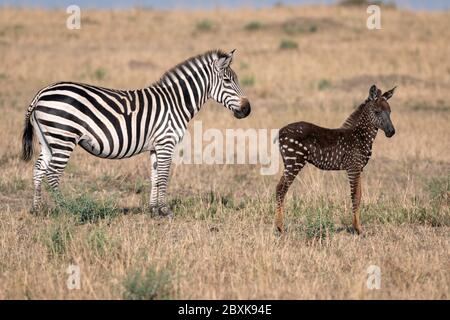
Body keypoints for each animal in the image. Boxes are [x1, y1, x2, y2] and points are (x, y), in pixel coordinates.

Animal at [21, 48, 251, 216]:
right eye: (228, 81)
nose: (247, 109)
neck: (176, 102)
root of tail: (41, 93)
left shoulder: (156, 147)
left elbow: (154, 176)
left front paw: (154, 209)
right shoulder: (166, 142)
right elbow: (164, 176)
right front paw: (165, 210)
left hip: (48, 140)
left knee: (39, 169)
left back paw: (36, 209)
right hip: (64, 137)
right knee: (53, 172)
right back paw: (65, 209)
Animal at [274, 85, 398, 235]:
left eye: (390, 112)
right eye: (377, 112)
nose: (391, 132)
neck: (361, 136)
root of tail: (281, 131)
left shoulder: (359, 169)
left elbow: (360, 196)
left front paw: (358, 227)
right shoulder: (353, 167)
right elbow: (355, 196)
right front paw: (358, 229)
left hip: (289, 163)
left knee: (280, 188)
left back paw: (279, 227)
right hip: (294, 161)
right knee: (281, 189)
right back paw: (280, 228)